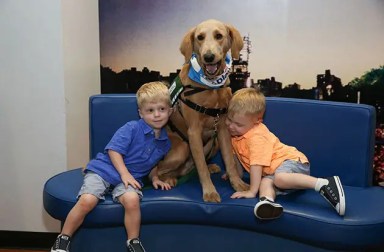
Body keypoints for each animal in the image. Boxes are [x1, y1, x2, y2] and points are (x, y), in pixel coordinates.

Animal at [157, 18, 249, 202]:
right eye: (199, 37)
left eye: (219, 36)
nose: (208, 57)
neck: (210, 87)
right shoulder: (194, 132)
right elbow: (201, 168)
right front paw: (210, 191)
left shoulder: (222, 129)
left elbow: (229, 161)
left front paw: (237, 183)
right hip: (182, 148)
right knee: (155, 171)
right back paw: (167, 178)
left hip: (213, 144)